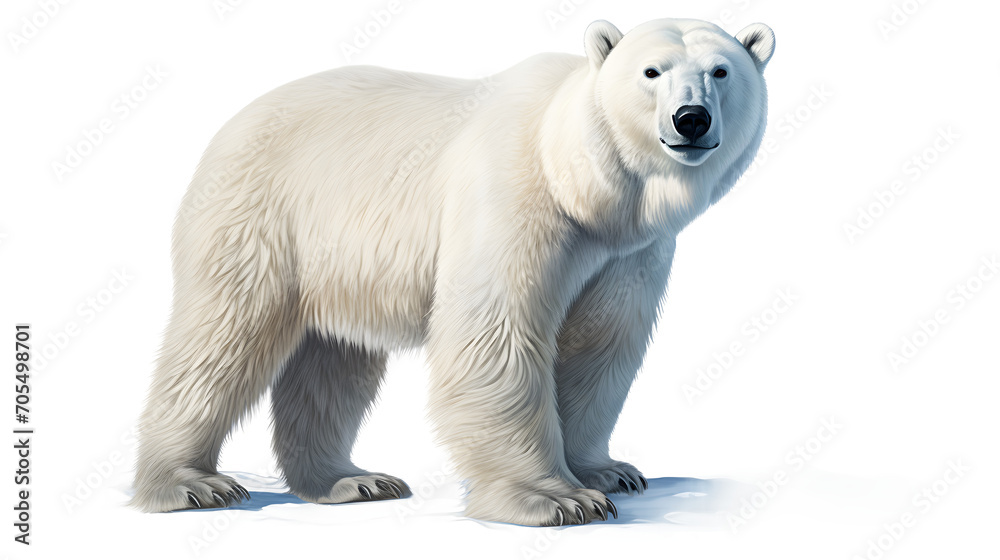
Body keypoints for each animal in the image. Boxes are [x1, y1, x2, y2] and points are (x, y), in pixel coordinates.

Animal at [130, 17, 775, 526]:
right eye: (651, 72)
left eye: (721, 71)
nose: (691, 119)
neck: (582, 180)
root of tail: (232, 122)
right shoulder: (513, 199)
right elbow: (497, 334)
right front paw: (556, 499)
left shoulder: (628, 252)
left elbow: (601, 345)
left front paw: (607, 471)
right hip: (261, 215)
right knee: (222, 337)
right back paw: (188, 485)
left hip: (337, 256)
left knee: (334, 360)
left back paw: (350, 480)